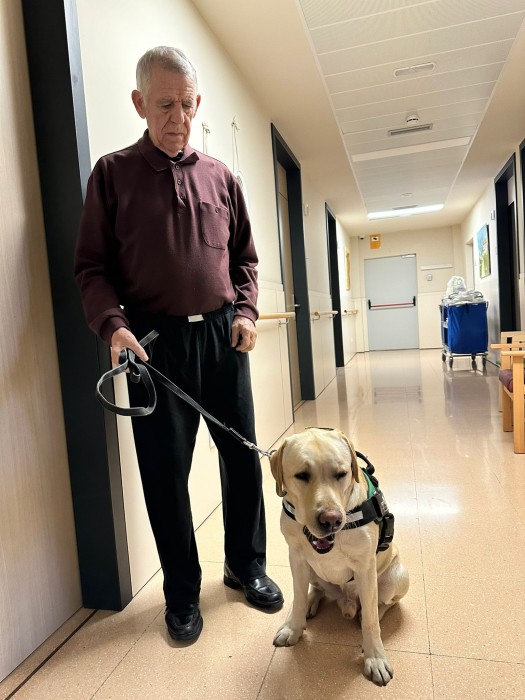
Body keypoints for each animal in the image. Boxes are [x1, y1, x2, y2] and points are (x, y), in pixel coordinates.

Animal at [270, 428, 409, 686]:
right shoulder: (296, 557)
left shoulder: (365, 567)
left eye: (341, 474)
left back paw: (368, 612)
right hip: (311, 571)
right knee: (317, 589)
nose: (331, 520)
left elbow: (371, 621)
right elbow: (298, 596)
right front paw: (293, 627)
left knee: (383, 603)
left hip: (398, 577)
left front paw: (375, 658)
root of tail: (347, 602)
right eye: (301, 475)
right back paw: (310, 604)